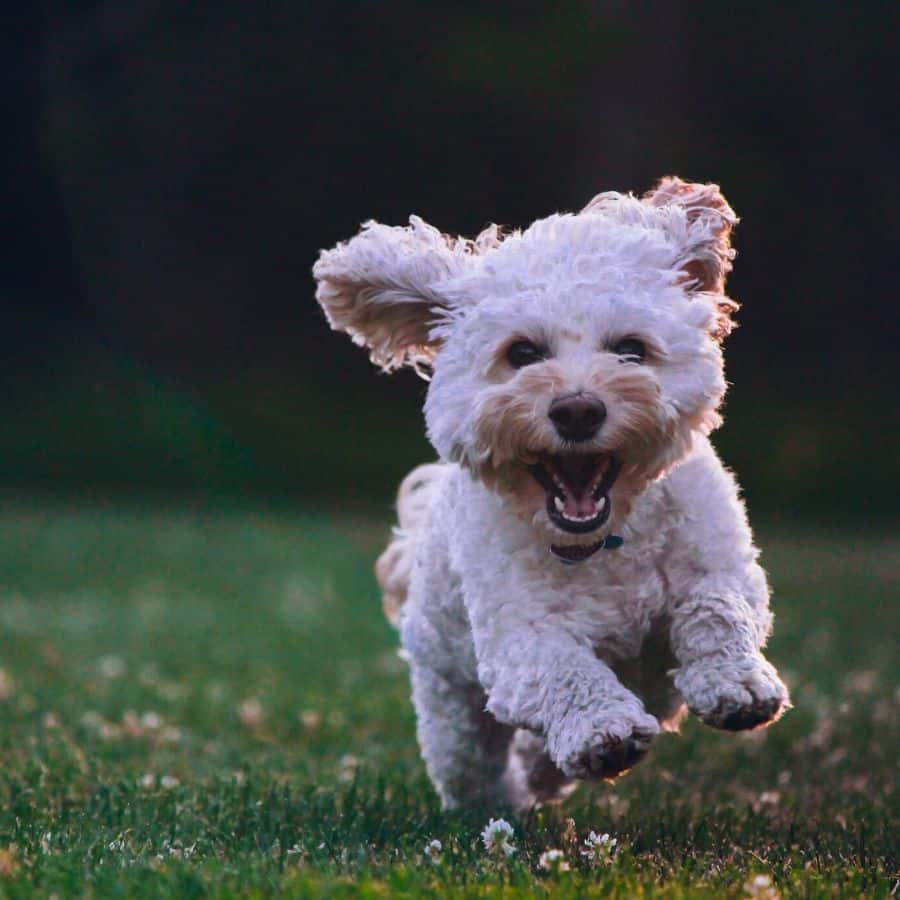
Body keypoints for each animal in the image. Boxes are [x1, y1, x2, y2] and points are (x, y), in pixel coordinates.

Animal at [314, 176, 788, 808]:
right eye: (522, 353)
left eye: (631, 349)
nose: (578, 410)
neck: (606, 541)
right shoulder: (518, 637)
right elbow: (563, 668)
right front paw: (601, 729)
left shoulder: (721, 562)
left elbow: (717, 607)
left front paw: (736, 683)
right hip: (449, 698)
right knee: (470, 762)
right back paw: (503, 801)